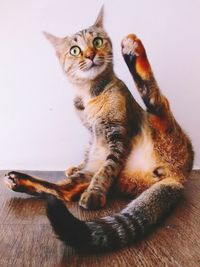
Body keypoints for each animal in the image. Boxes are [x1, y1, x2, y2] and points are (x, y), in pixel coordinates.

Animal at [5, 6, 194, 253]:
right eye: (75, 50)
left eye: (97, 41)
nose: (90, 55)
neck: (89, 95)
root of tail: (178, 176)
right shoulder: (92, 136)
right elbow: (89, 154)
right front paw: (77, 169)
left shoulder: (118, 133)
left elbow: (108, 168)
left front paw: (94, 194)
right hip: (96, 170)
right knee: (64, 192)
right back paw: (18, 180)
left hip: (161, 129)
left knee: (156, 100)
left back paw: (133, 52)